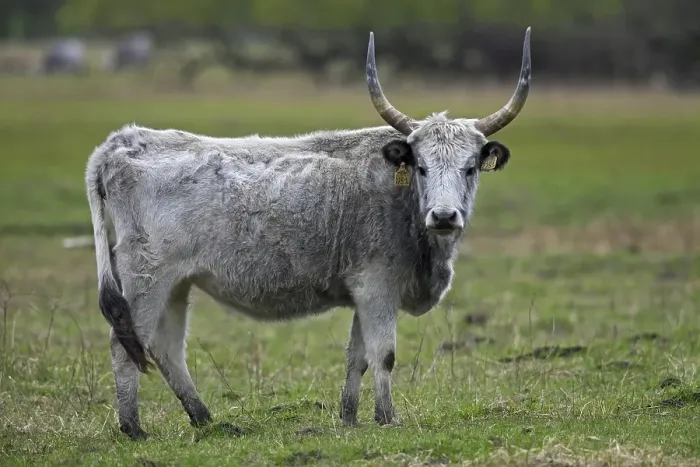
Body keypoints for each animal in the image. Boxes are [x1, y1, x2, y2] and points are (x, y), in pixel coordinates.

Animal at [86, 28, 531, 440]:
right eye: (420, 166)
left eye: (470, 168)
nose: (443, 215)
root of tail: (123, 143)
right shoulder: (377, 288)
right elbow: (383, 355)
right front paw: (387, 418)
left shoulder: (362, 293)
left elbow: (357, 357)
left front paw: (349, 417)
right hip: (146, 279)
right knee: (124, 345)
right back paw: (134, 428)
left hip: (177, 285)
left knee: (166, 349)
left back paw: (206, 419)